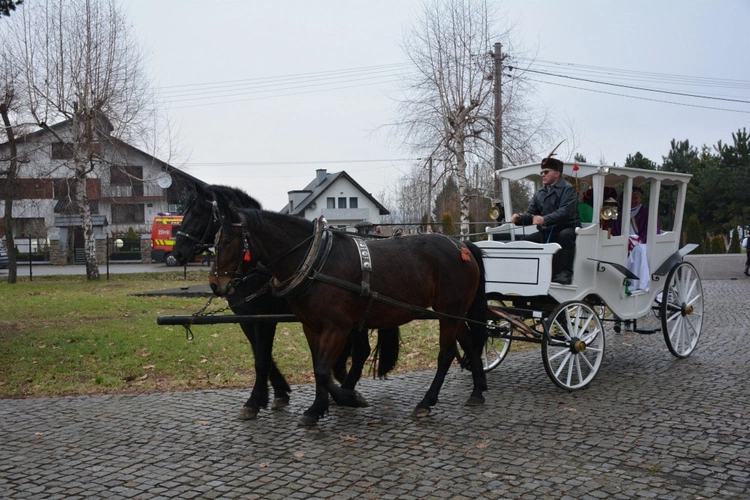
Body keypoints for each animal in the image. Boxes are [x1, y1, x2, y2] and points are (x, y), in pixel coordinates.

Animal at [212, 203, 494, 426]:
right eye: (214, 242)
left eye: (227, 241)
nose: (216, 285)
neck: (316, 260)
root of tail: (461, 244)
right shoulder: (310, 326)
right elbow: (318, 367)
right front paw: (321, 406)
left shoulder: (337, 327)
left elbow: (323, 369)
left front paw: (344, 399)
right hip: (455, 313)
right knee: (469, 343)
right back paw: (477, 391)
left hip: (449, 310)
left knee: (446, 354)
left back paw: (426, 402)